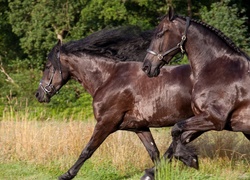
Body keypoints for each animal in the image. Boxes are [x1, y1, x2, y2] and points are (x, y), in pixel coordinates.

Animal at [35, 25, 195, 180]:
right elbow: (153, 151)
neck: (108, 78)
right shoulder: (140, 127)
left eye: (48, 66)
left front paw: (66, 175)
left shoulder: (106, 123)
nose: (38, 94)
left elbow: (87, 150)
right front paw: (156, 173)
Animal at [142, 6, 250, 171]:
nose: (146, 67)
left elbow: (176, 129)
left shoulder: (214, 118)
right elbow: (179, 138)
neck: (219, 69)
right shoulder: (203, 119)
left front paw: (189, 158)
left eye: (160, 33)